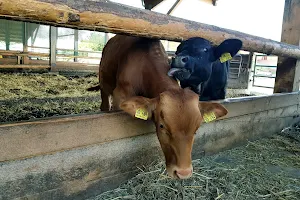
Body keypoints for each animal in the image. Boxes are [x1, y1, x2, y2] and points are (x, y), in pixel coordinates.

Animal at [94, 34, 227, 180]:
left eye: (196, 129)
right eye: (162, 126)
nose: (183, 173)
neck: (143, 67)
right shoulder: (120, 95)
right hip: (103, 83)